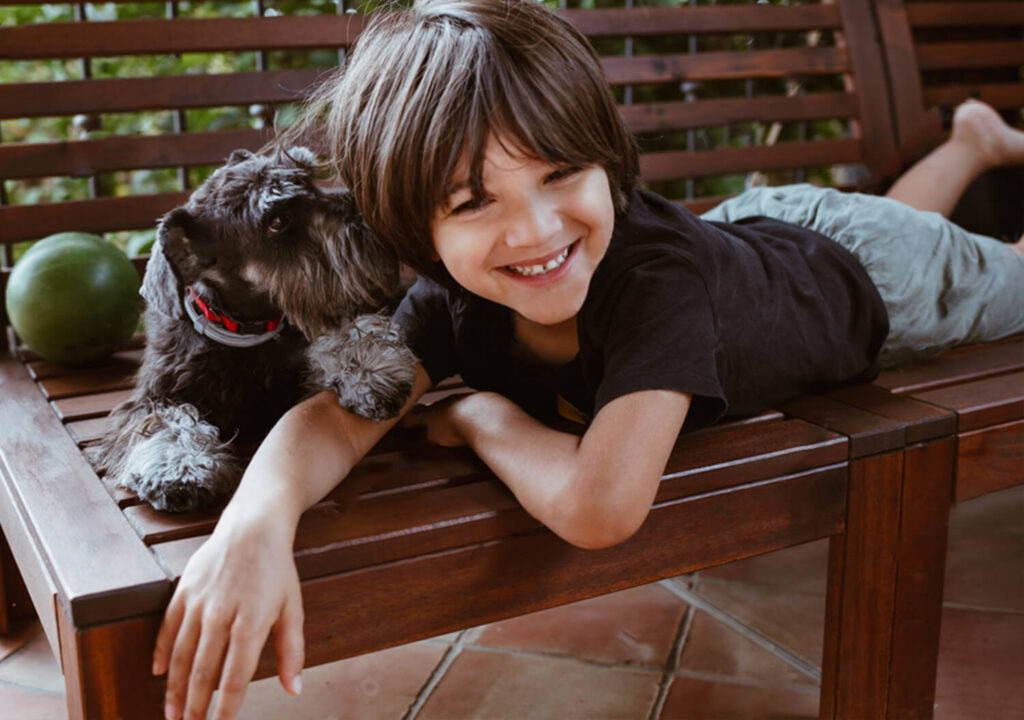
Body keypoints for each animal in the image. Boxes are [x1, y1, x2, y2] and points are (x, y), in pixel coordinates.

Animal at [90, 147, 417, 512]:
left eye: (309, 182)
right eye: (277, 222)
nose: (371, 213)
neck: (246, 330)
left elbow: (343, 335)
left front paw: (371, 373)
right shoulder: (152, 398)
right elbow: (163, 423)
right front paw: (182, 468)